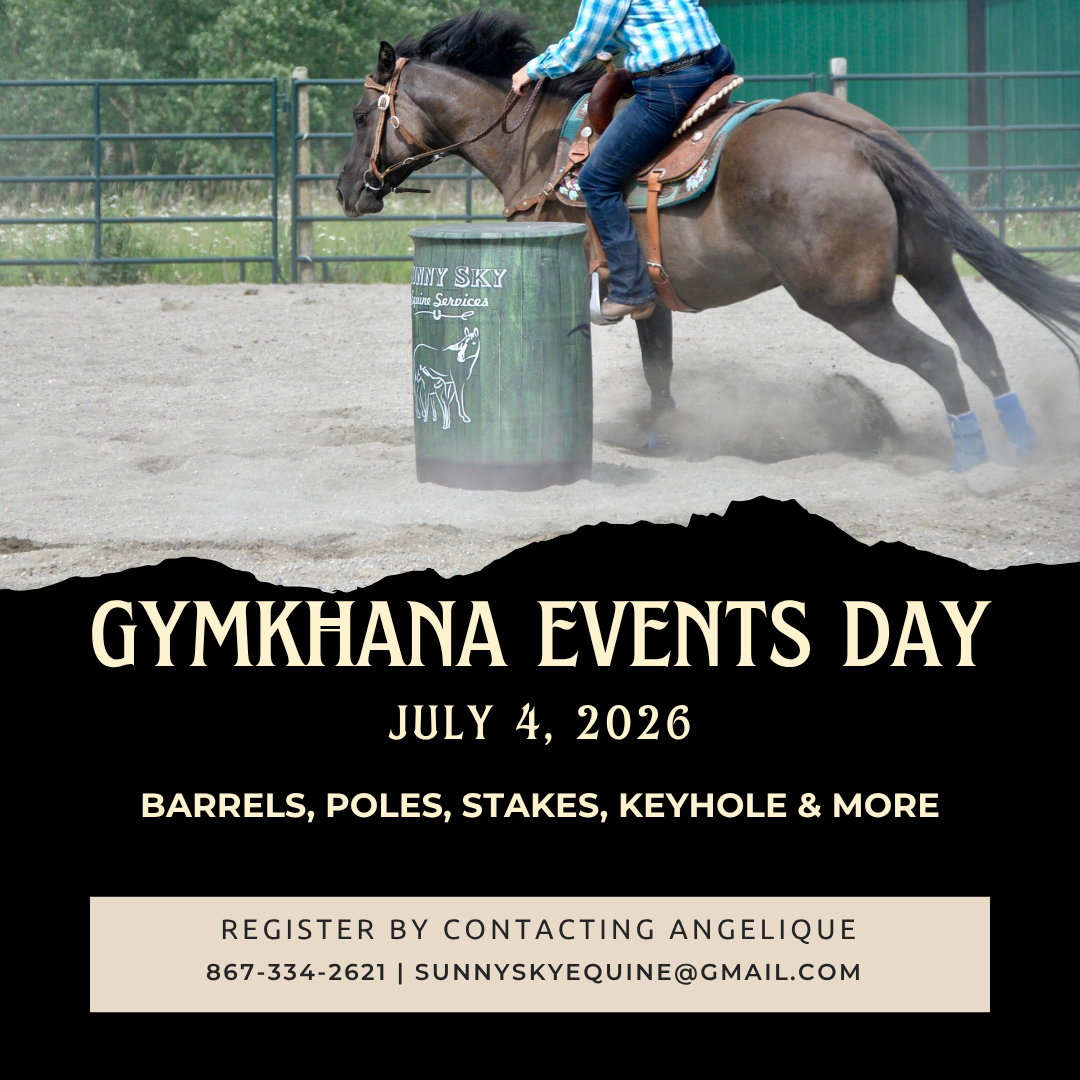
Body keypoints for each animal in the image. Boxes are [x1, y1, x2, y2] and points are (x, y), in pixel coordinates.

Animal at [336, 10, 1080, 471]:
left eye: (358, 114)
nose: (348, 191)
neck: (536, 145)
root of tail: (858, 138)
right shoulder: (649, 294)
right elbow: (658, 367)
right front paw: (666, 437)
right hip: (931, 269)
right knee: (978, 345)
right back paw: (1022, 447)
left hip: (852, 305)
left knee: (940, 359)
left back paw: (973, 458)